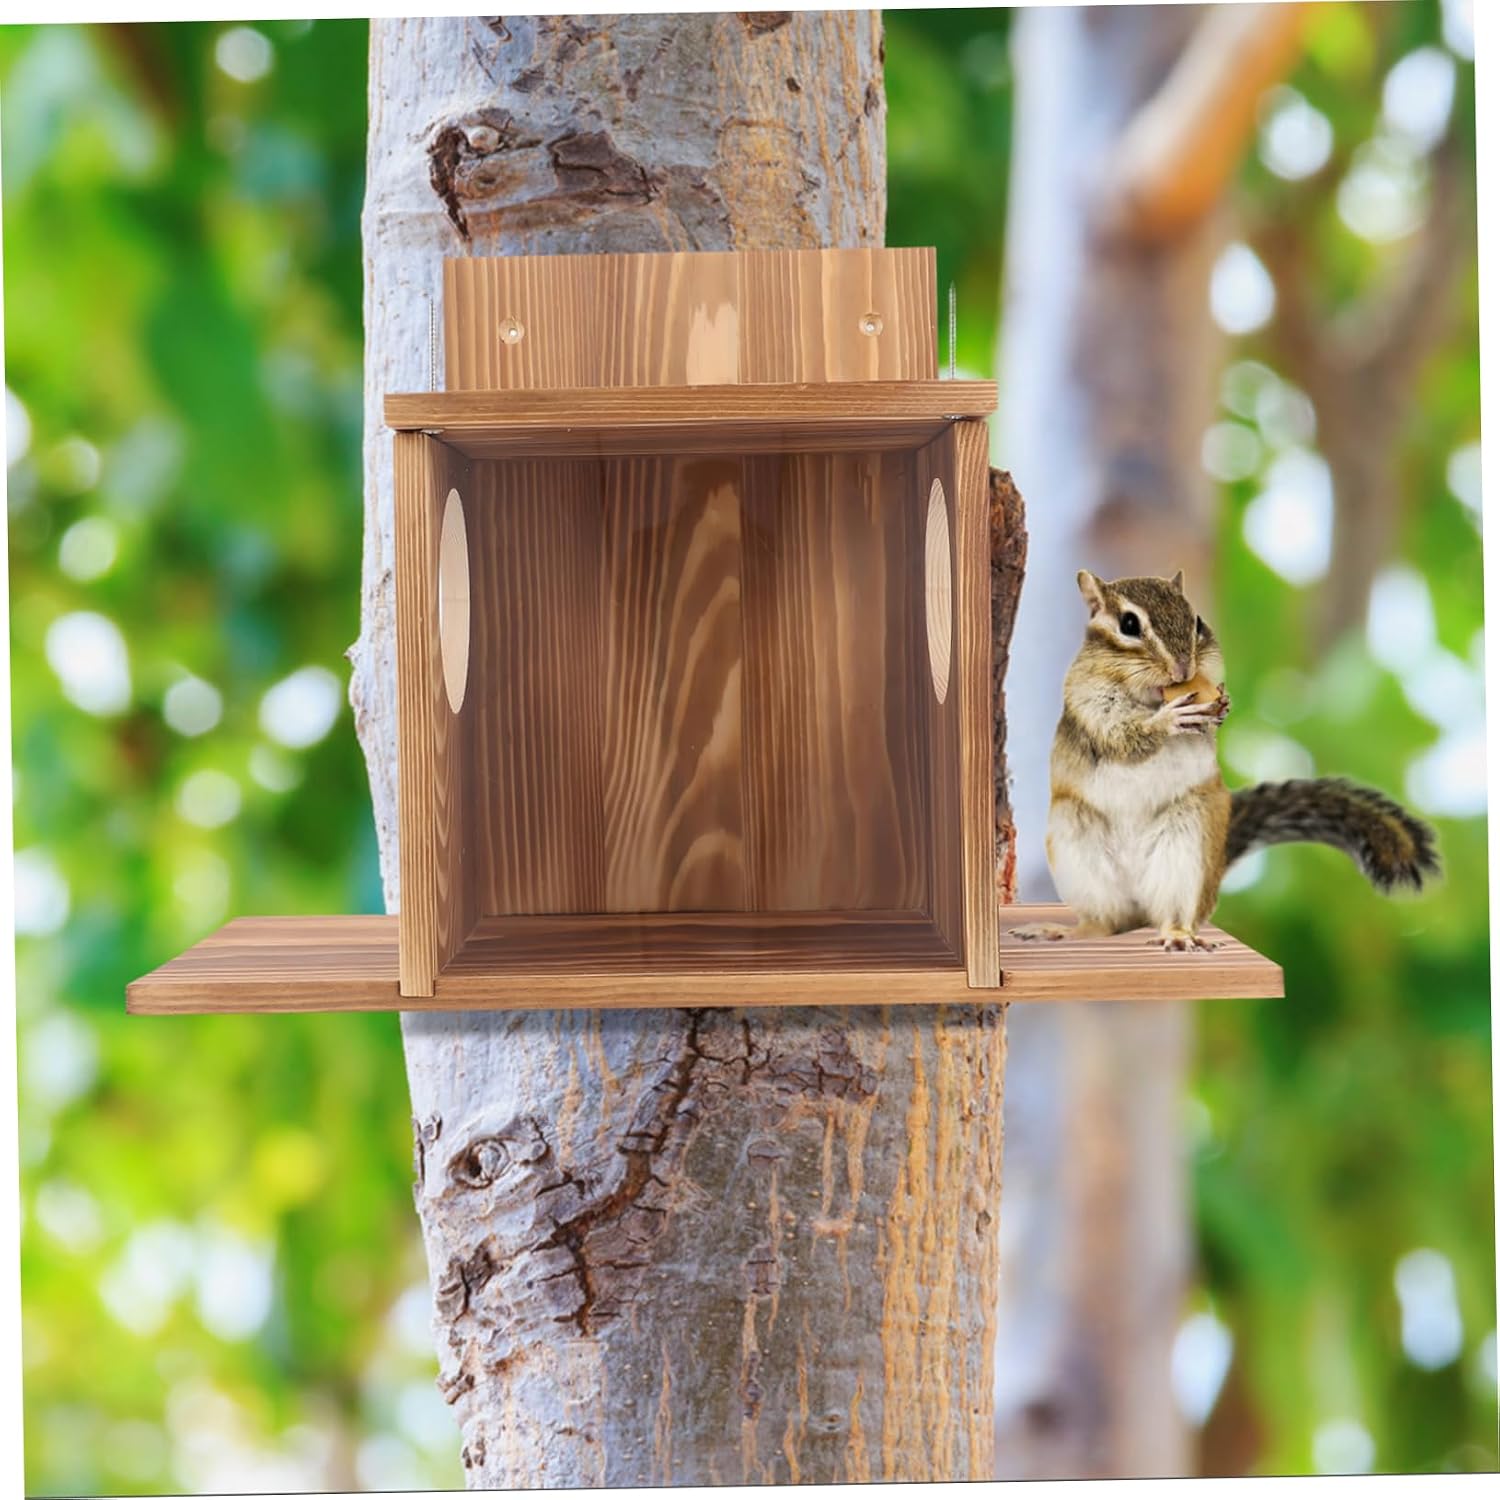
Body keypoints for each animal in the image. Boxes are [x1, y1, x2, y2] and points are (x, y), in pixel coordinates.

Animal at [1009, 569, 1439, 952]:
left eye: (1197, 621)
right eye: (1128, 624)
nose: (1184, 668)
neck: (1149, 697)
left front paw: (1222, 705)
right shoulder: (1088, 701)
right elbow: (1122, 735)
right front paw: (1168, 720)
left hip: (1188, 848)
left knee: (1172, 912)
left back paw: (1178, 935)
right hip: (1078, 848)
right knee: (1106, 923)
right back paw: (1063, 931)